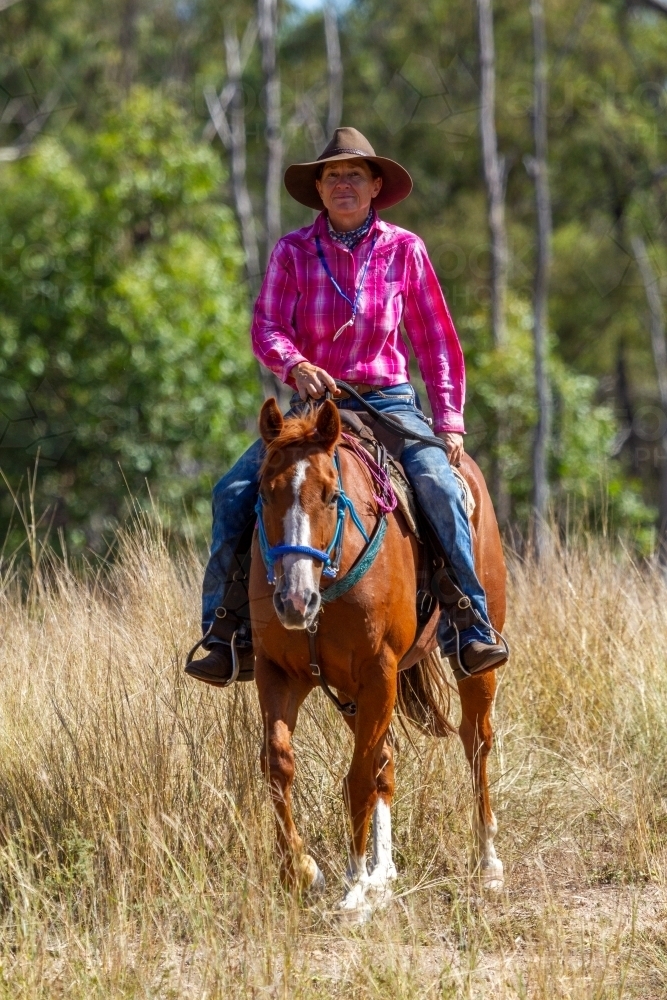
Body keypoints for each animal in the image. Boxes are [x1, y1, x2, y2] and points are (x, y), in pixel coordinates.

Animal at [249, 398, 506, 920]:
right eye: (265, 494)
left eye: (331, 495)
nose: (294, 601)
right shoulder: (278, 673)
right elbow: (279, 766)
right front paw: (302, 871)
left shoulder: (379, 672)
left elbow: (358, 778)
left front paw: (353, 887)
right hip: (352, 694)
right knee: (386, 760)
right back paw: (384, 874)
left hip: (472, 665)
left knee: (476, 743)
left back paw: (487, 862)